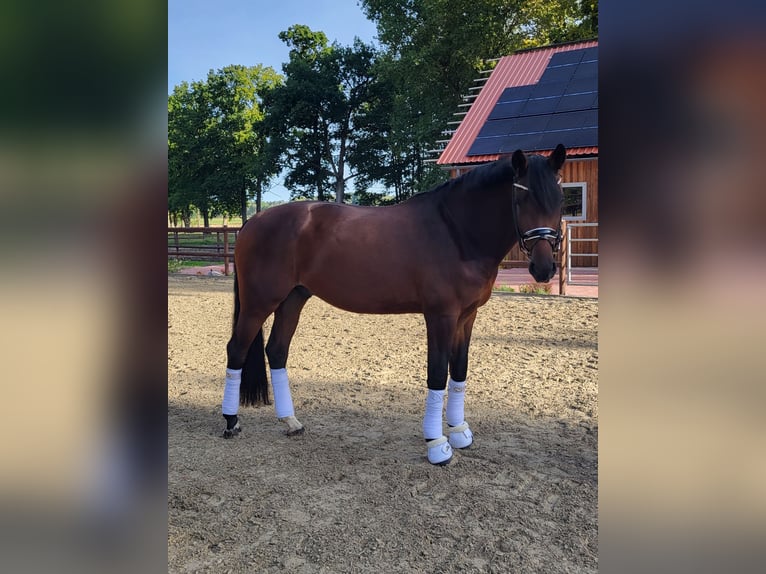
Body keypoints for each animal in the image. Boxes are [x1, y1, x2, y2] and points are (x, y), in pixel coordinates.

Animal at [219, 145, 568, 468]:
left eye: (560, 201)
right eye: (522, 199)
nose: (544, 268)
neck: (456, 231)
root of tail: (253, 221)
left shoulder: (467, 316)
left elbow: (459, 370)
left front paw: (459, 432)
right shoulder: (441, 316)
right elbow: (437, 373)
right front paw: (437, 445)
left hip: (293, 299)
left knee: (277, 351)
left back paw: (291, 422)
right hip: (259, 302)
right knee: (236, 349)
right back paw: (231, 422)